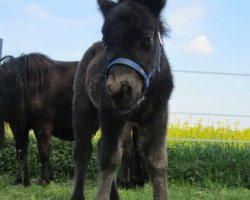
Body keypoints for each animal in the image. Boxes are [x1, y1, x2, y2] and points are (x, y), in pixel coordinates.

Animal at [0, 52, 77, 184]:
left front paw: (45, 179)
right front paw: (21, 180)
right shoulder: (18, 127)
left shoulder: (42, 124)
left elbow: (44, 150)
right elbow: (20, 151)